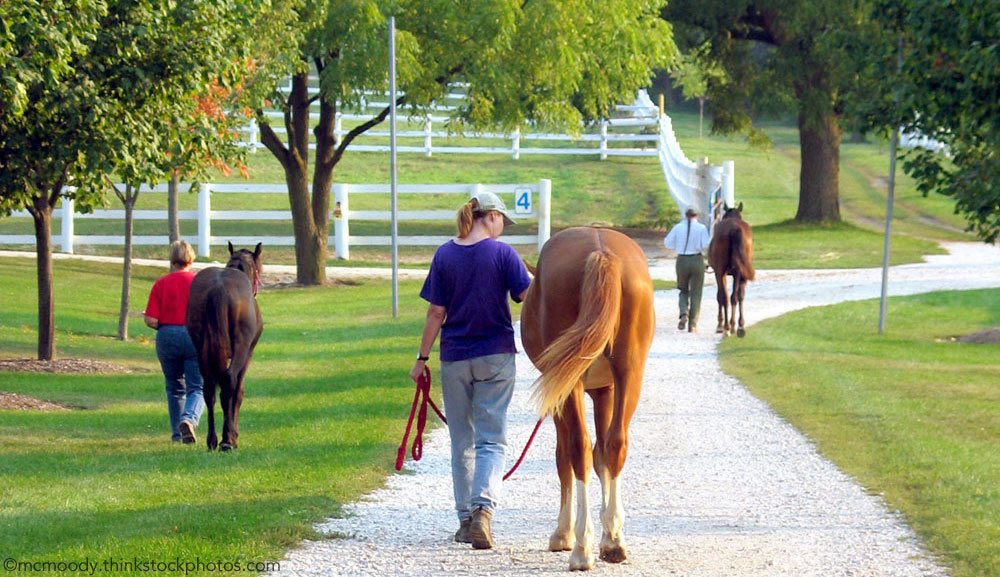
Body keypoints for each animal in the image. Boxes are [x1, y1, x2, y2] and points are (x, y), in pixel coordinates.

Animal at [184, 243, 262, 450]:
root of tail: (218, 289)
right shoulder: (248, 354)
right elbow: (238, 392)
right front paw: (233, 434)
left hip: (201, 348)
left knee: (209, 388)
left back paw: (212, 440)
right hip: (241, 348)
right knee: (229, 381)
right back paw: (227, 440)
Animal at [520, 227, 652, 568]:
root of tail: (600, 252)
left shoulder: (562, 395)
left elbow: (565, 455)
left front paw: (563, 534)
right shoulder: (606, 391)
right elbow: (603, 453)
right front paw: (608, 534)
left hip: (573, 386)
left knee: (577, 448)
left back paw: (580, 547)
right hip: (630, 373)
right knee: (616, 443)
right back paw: (615, 541)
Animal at [708, 204, 752, 336]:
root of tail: (735, 229)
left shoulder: (719, 273)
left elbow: (720, 296)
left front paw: (720, 324)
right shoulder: (739, 275)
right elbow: (739, 296)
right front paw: (739, 324)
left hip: (721, 271)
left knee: (725, 297)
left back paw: (727, 327)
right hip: (740, 273)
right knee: (735, 297)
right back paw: (736, 327)